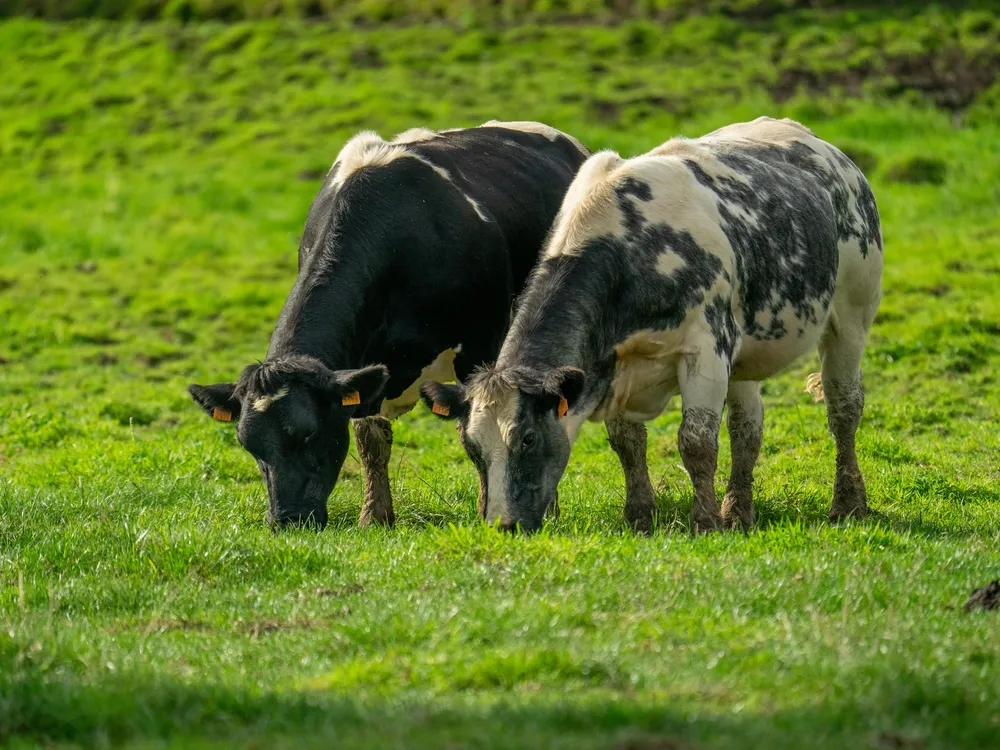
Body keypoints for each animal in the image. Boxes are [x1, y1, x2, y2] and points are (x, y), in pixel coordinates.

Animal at [188, 122, 584, 528]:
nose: (286, 520)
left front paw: (486, 509)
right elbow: (371, 440)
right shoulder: (368, 360)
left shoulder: (480, 345)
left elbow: (477, 430)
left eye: (308, 433)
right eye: (248, 444)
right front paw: (375, 516)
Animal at [422, 117, 884, 536]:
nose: (503, 525)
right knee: (746, 428)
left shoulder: (706, 348)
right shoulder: (615, 365)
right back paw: (738, 512)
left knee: (844, 407)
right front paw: (640, 516)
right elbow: (628, 442)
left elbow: (696, 441)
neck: (636, 251)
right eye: (471, 447)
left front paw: (704, 522)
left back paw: (847, 505)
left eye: (528, 438)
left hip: (852, 315)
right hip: (747, 351)